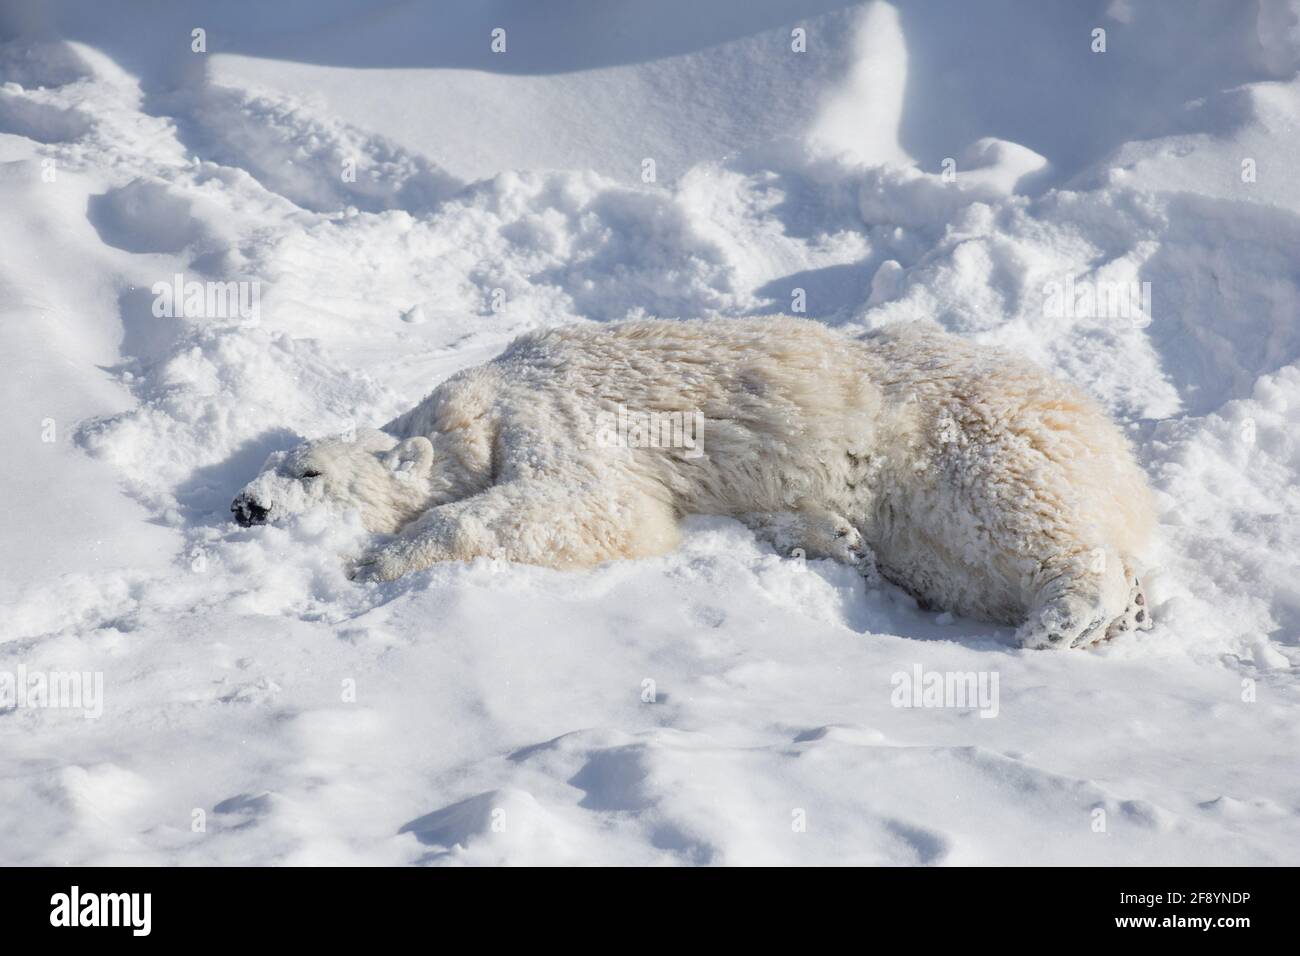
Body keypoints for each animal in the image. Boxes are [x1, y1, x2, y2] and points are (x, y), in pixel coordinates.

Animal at [233, 319, 1159, 650]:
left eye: (307, 470)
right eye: (268, 466)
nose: (246, 506)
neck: (462, 419)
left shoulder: (545, 408)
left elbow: (591, 504)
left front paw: (374, 561)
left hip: (956, 428)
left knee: (1018, 510)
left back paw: (1065, 617)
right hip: (915, 508)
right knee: (947, 558)